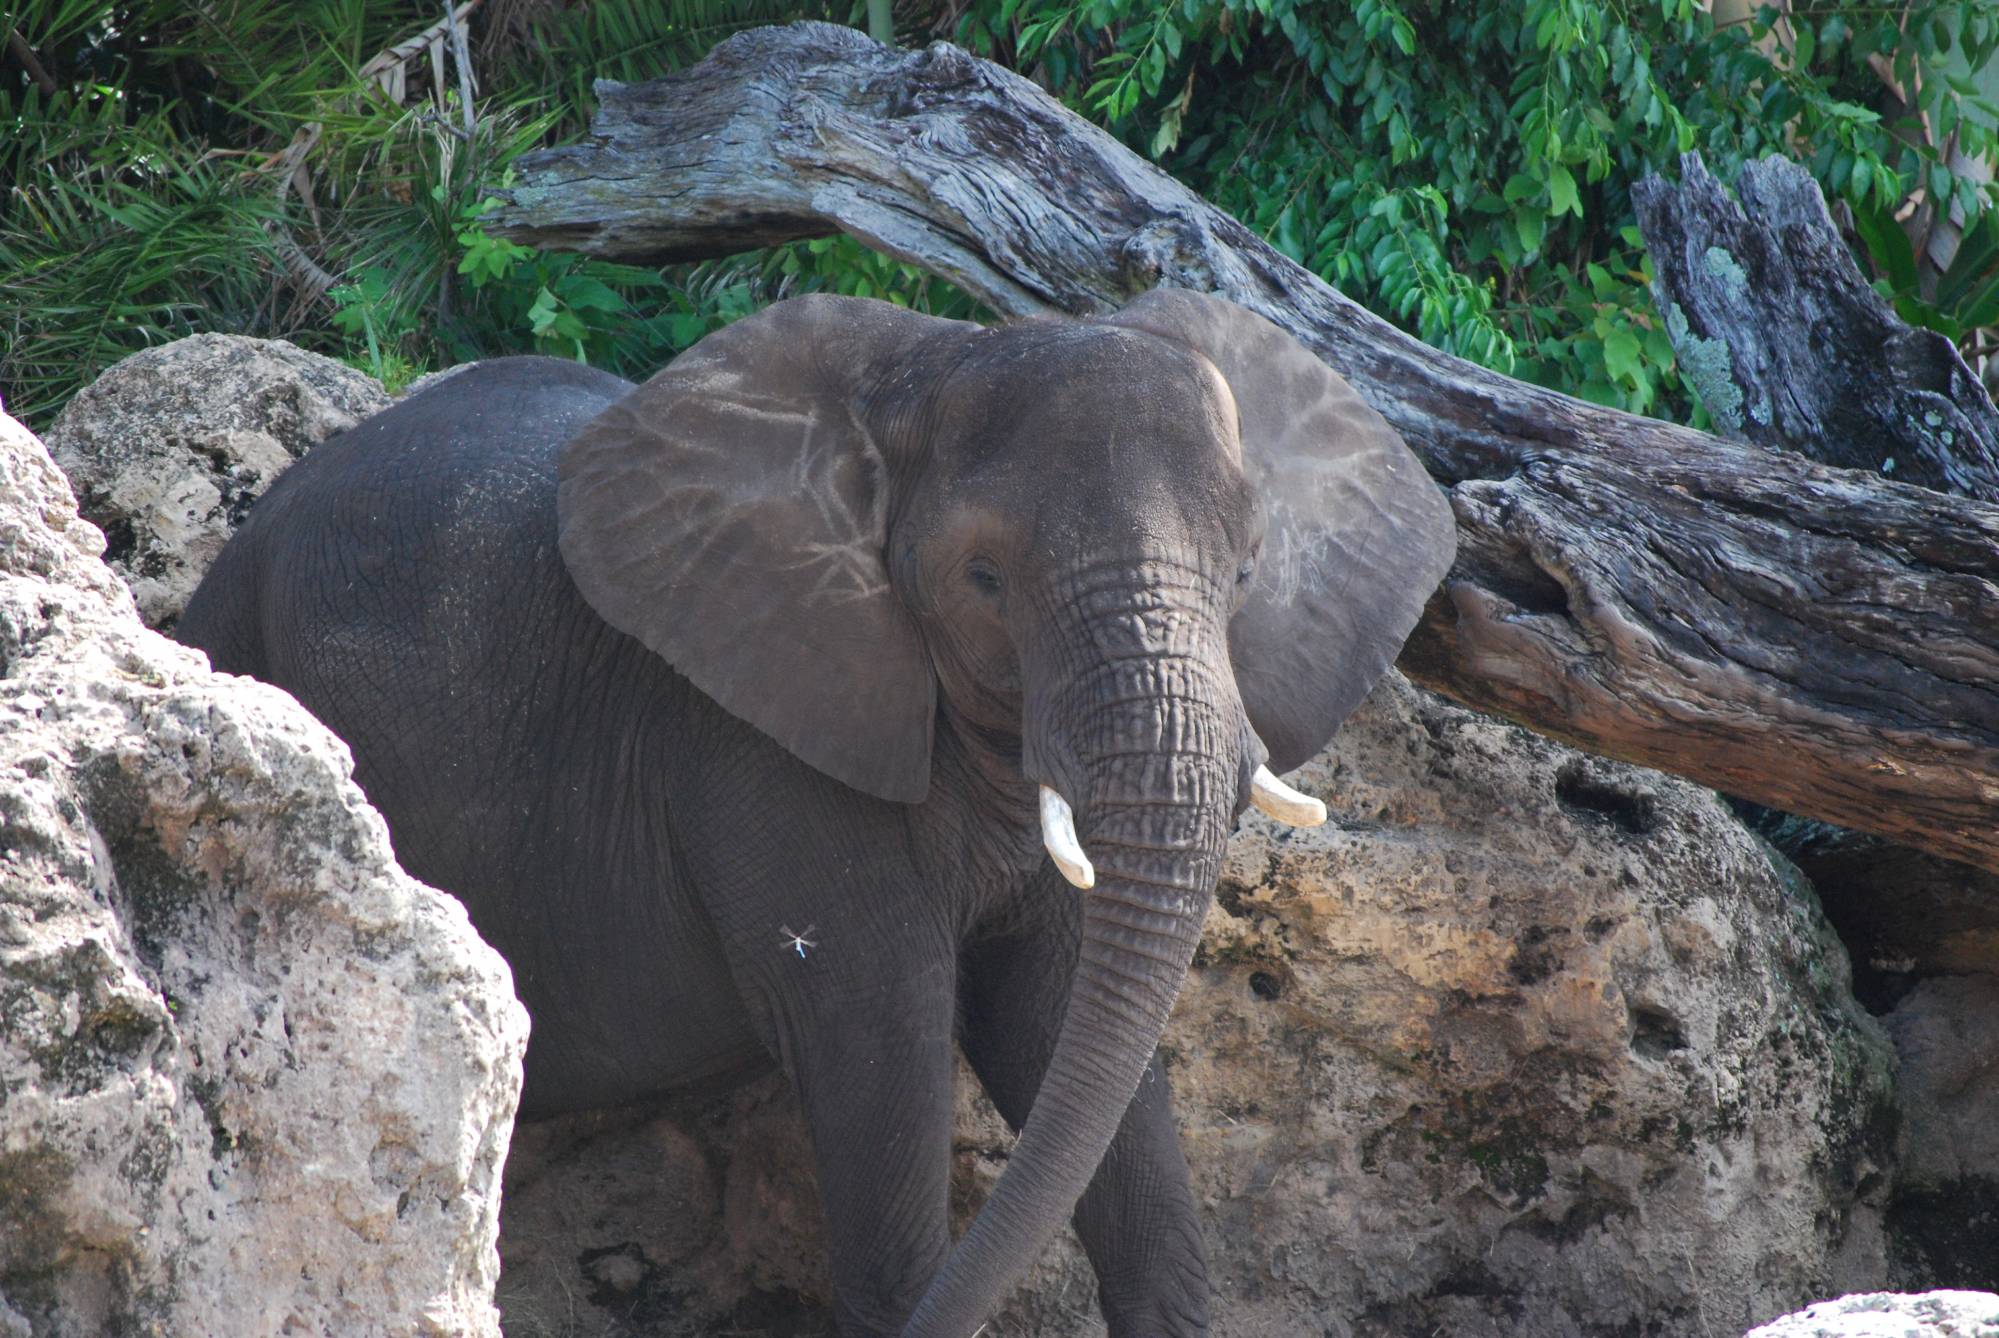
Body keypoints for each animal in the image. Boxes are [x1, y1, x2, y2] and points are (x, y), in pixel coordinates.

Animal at [175, 288, 1455, 1328]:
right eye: (984, 579)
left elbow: (1065, 1027)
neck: (928, 368)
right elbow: (877, 1035)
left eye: (1242, 574)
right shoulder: (754, 743)